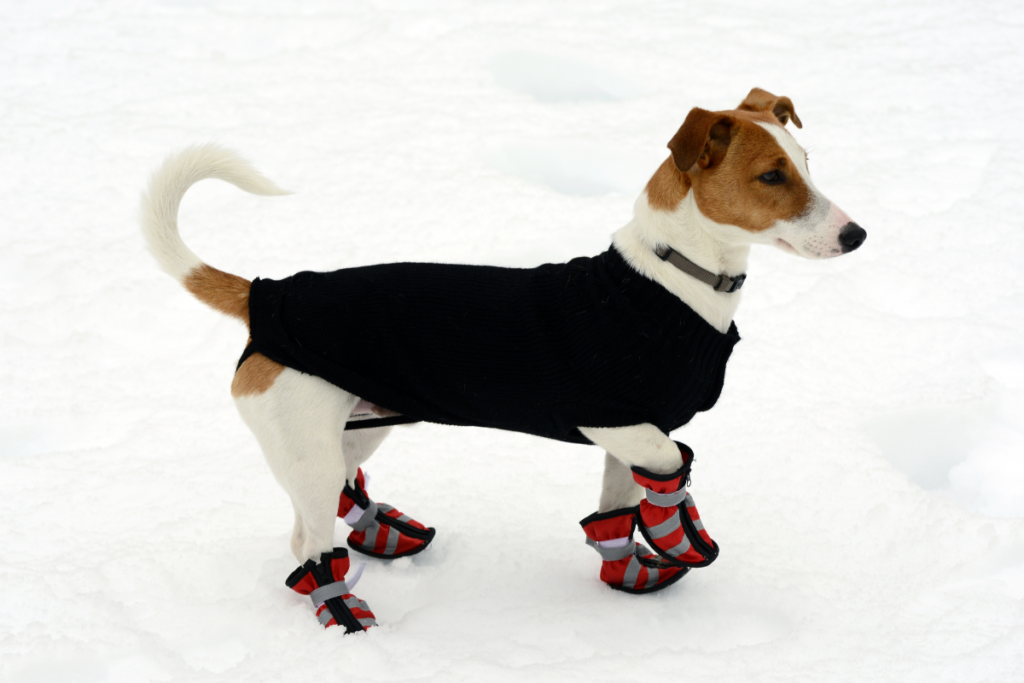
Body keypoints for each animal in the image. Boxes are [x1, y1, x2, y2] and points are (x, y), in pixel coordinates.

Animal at [142, 88, 864, 634]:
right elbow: (669, 463)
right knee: (310, 543)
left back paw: (379, 535)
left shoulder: (627, 433)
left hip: (356, 425)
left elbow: (619, 505)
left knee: (323, 507)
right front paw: (679, 528)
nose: (857, 234)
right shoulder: (616, 420)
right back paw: (344, 610)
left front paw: (628, 567)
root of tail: (267, 294)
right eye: (771, 176)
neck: (669, 281)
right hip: (308, 443)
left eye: (807, 162)